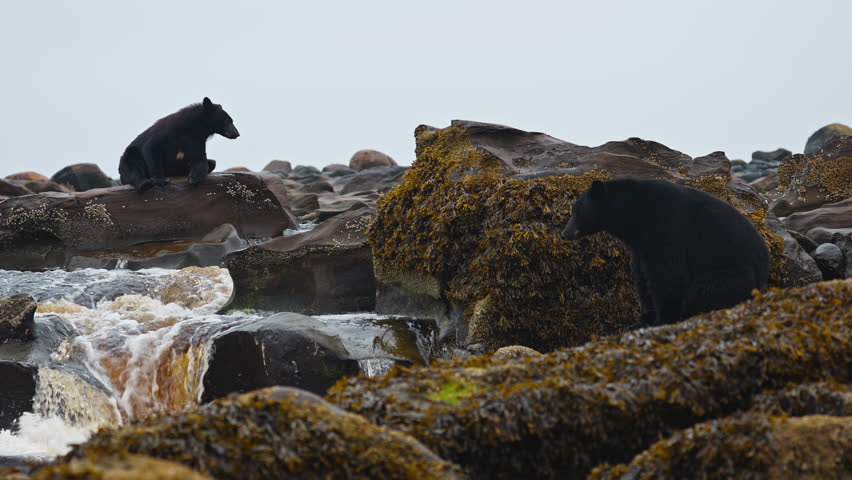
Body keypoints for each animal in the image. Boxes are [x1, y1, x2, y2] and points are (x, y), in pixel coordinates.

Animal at [561, 178, 770, 329]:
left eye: (576, 211)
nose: (564, 233)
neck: (636, 215)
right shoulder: (640, 248)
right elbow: (642, 278)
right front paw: (641, 321)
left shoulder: (666, 231)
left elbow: (668, 276)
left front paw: (661, 320)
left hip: (729, 270)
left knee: (704, 291)